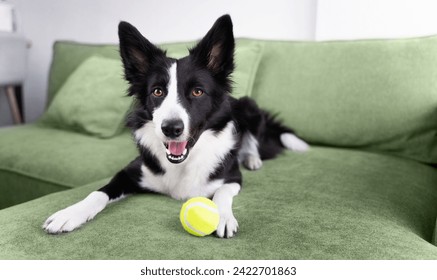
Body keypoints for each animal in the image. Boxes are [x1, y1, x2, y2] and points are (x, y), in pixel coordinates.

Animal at [41, 15, 306, 238]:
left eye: (197, 92)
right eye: (157, 91)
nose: (171, 129)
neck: (182, 165)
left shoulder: (232, 178)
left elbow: (221, 194)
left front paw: (223, 216)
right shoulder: (130, 172)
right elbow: (98, 192)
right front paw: (70, 213)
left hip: (249, 106)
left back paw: (252, 159)